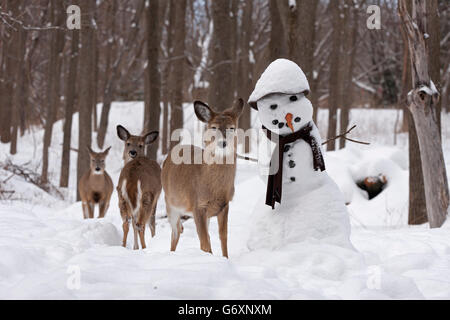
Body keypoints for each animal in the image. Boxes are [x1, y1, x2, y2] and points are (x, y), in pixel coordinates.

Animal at [162, 97, 244, 258]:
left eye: (231, 128)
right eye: (214, 127)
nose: (223, 143)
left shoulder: (224, 205)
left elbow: (222, 237)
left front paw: (225, 259)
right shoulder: (197, 205)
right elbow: (204, 242)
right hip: (170, 203)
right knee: (175, 232)